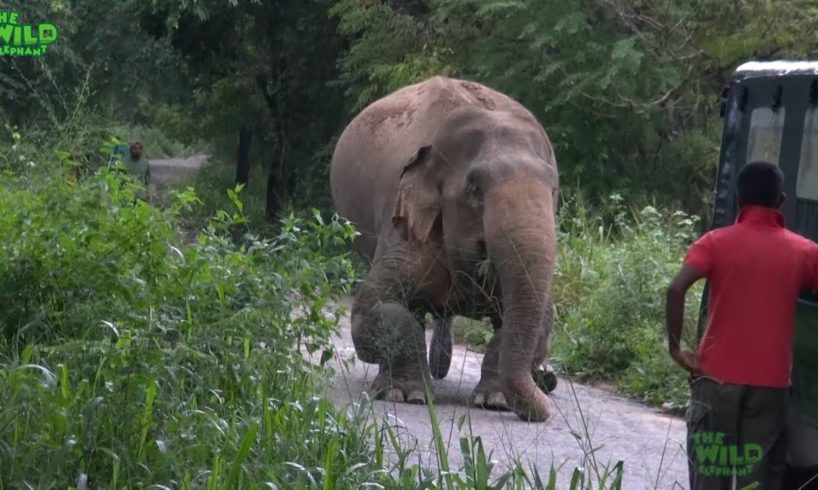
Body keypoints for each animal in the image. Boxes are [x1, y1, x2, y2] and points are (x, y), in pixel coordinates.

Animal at [328, 76, 556, 422]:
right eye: (474, 187)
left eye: (553, 189)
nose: (544, 413)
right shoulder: (404, 224)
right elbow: (374, 308)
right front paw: (405, 394)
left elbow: (539, 319)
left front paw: (495, 401)